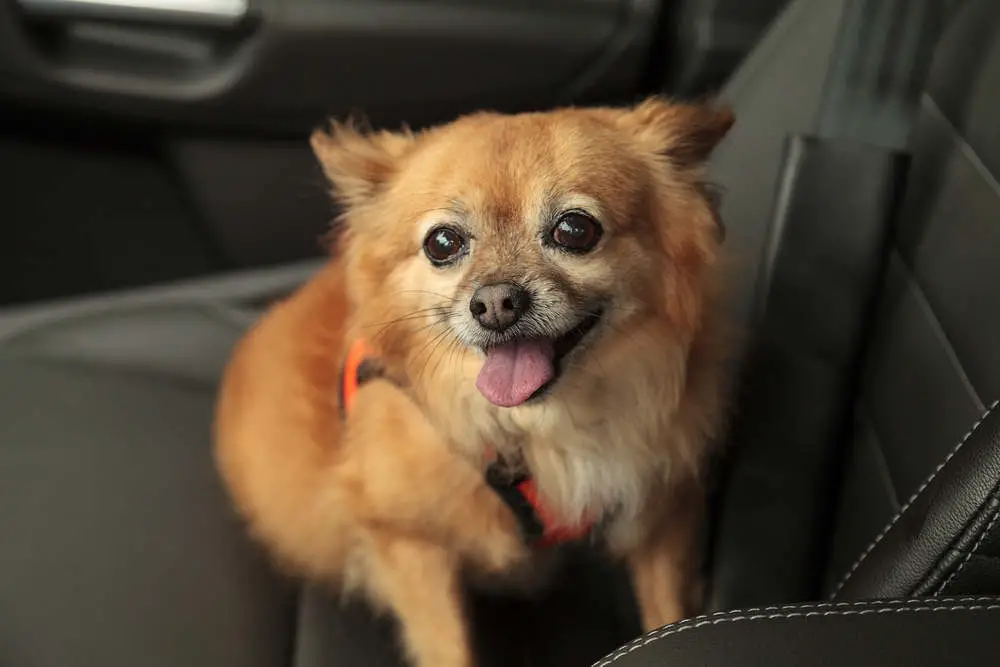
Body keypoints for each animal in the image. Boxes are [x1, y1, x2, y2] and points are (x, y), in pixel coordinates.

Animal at [215, 98, 736, 667]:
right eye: (442, 243)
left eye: (575, 230)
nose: (495, 302)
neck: (538, 428)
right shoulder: (408, 542)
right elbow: (449, 647)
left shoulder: (661, 511)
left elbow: (669, 612)